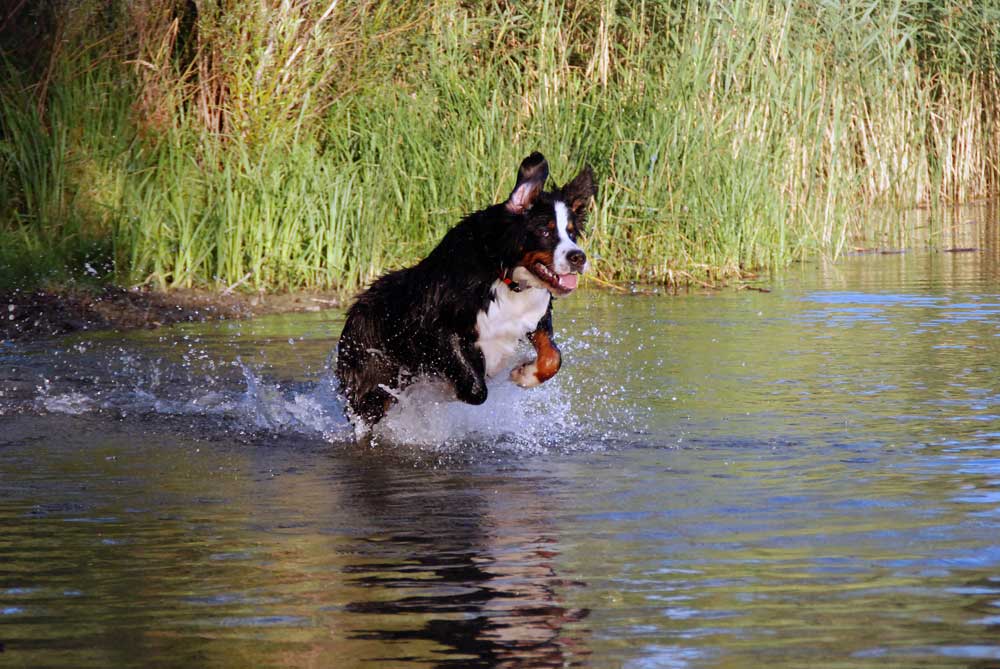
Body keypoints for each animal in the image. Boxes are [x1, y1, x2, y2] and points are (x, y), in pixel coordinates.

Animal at [340, 153, 596, 428]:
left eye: (572, 233)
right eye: (545, 231)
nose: (578, 257)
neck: (502, 273)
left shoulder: (535, 315)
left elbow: (552, 357)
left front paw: (524, 374)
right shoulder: (438, 326)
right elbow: (476, 387)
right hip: (369, 389)